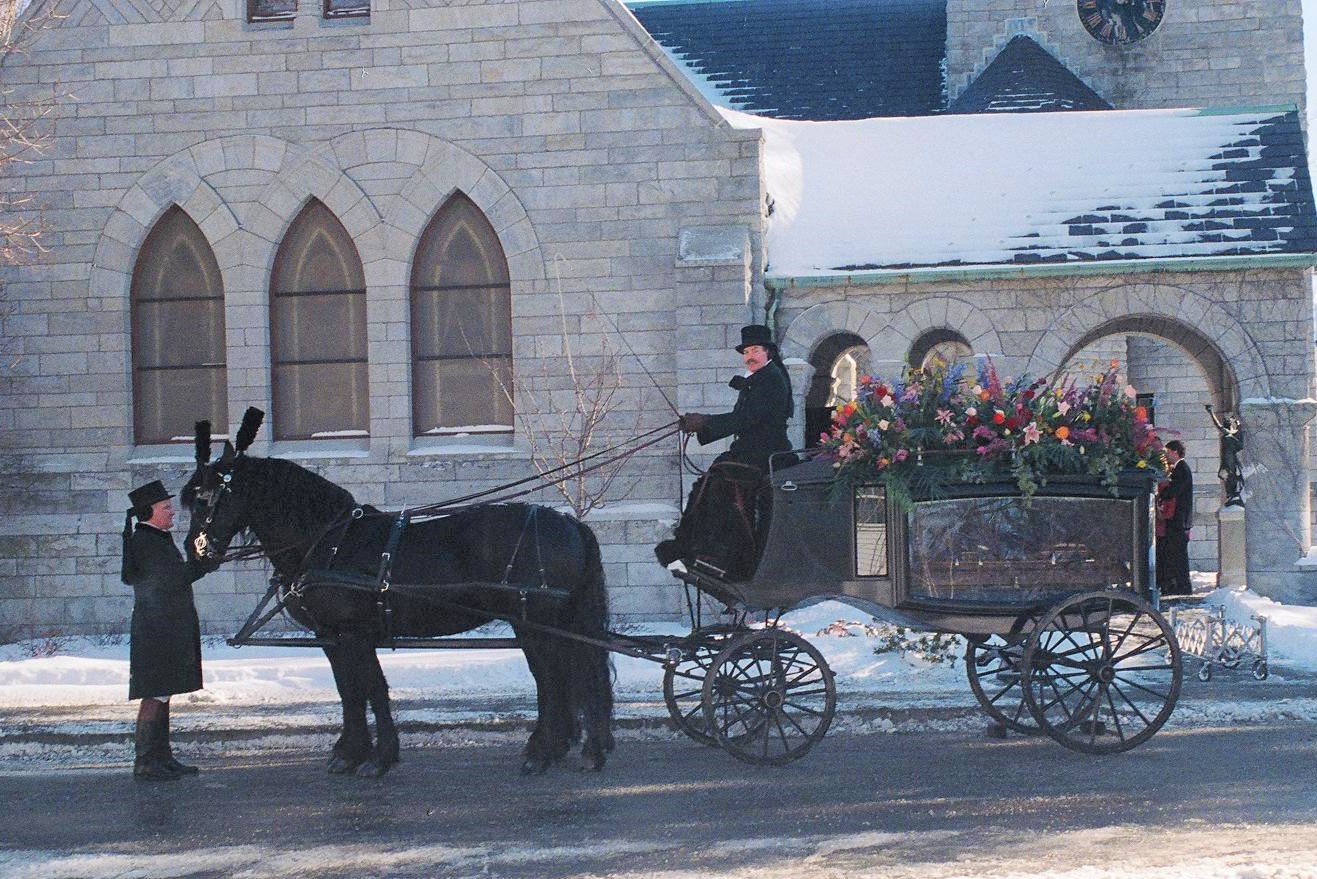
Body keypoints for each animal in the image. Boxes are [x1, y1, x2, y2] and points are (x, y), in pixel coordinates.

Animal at [181, 413, 616, 774]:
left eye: (205, 497)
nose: (195, 552)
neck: (331, 543)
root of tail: (569, 522)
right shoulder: (331, 636)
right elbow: (349, 691)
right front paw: (349, 752)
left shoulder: (354, 633)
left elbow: (372, 688)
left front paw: (379, 758)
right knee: (560, 678)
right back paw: (561, 748)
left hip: (537, 624)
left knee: (559, 678)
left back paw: (553, 752)